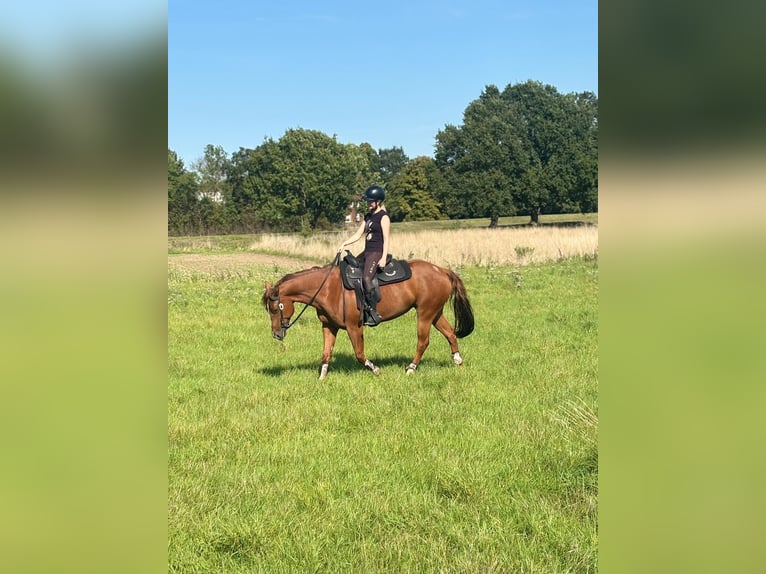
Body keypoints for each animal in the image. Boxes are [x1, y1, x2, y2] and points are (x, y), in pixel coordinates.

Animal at [261, 257, 474, 379]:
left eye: (275, 308)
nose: (276, 334)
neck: (328, 288)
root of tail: (442, 270)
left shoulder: (354, 327)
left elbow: (359, 354)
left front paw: (376, 370)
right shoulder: (329, 326)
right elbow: (326, 353)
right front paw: (321, 379)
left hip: (425, 314)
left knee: (423, 341)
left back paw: (411, 368)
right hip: (435, 313)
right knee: (450, 334)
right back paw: (458, 362)